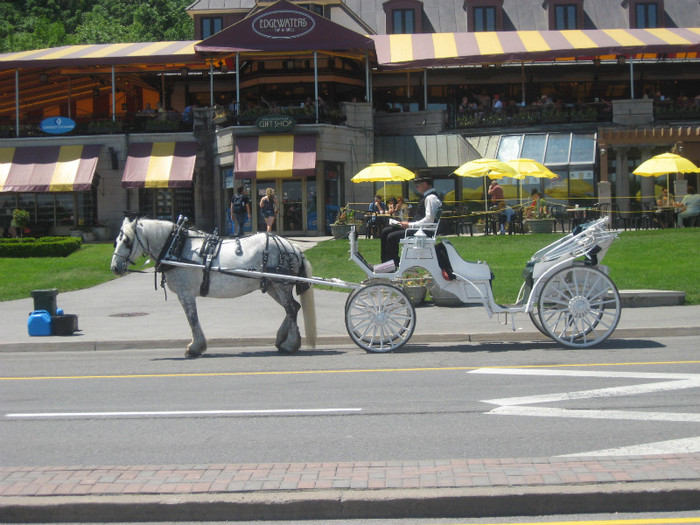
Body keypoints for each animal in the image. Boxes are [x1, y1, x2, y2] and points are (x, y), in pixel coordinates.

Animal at [111, 216, 318, 356]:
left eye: (127, 241)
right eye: (116, 241)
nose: (115, 268)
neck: (177, 246)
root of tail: (293, 247)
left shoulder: (185, 293)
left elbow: (192, 319)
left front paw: (195, 347)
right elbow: (192, 319)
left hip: (280, 284)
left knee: (291, 308)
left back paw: (290, 344)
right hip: (274, 285)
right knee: (292, 308)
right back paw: (282, 338)